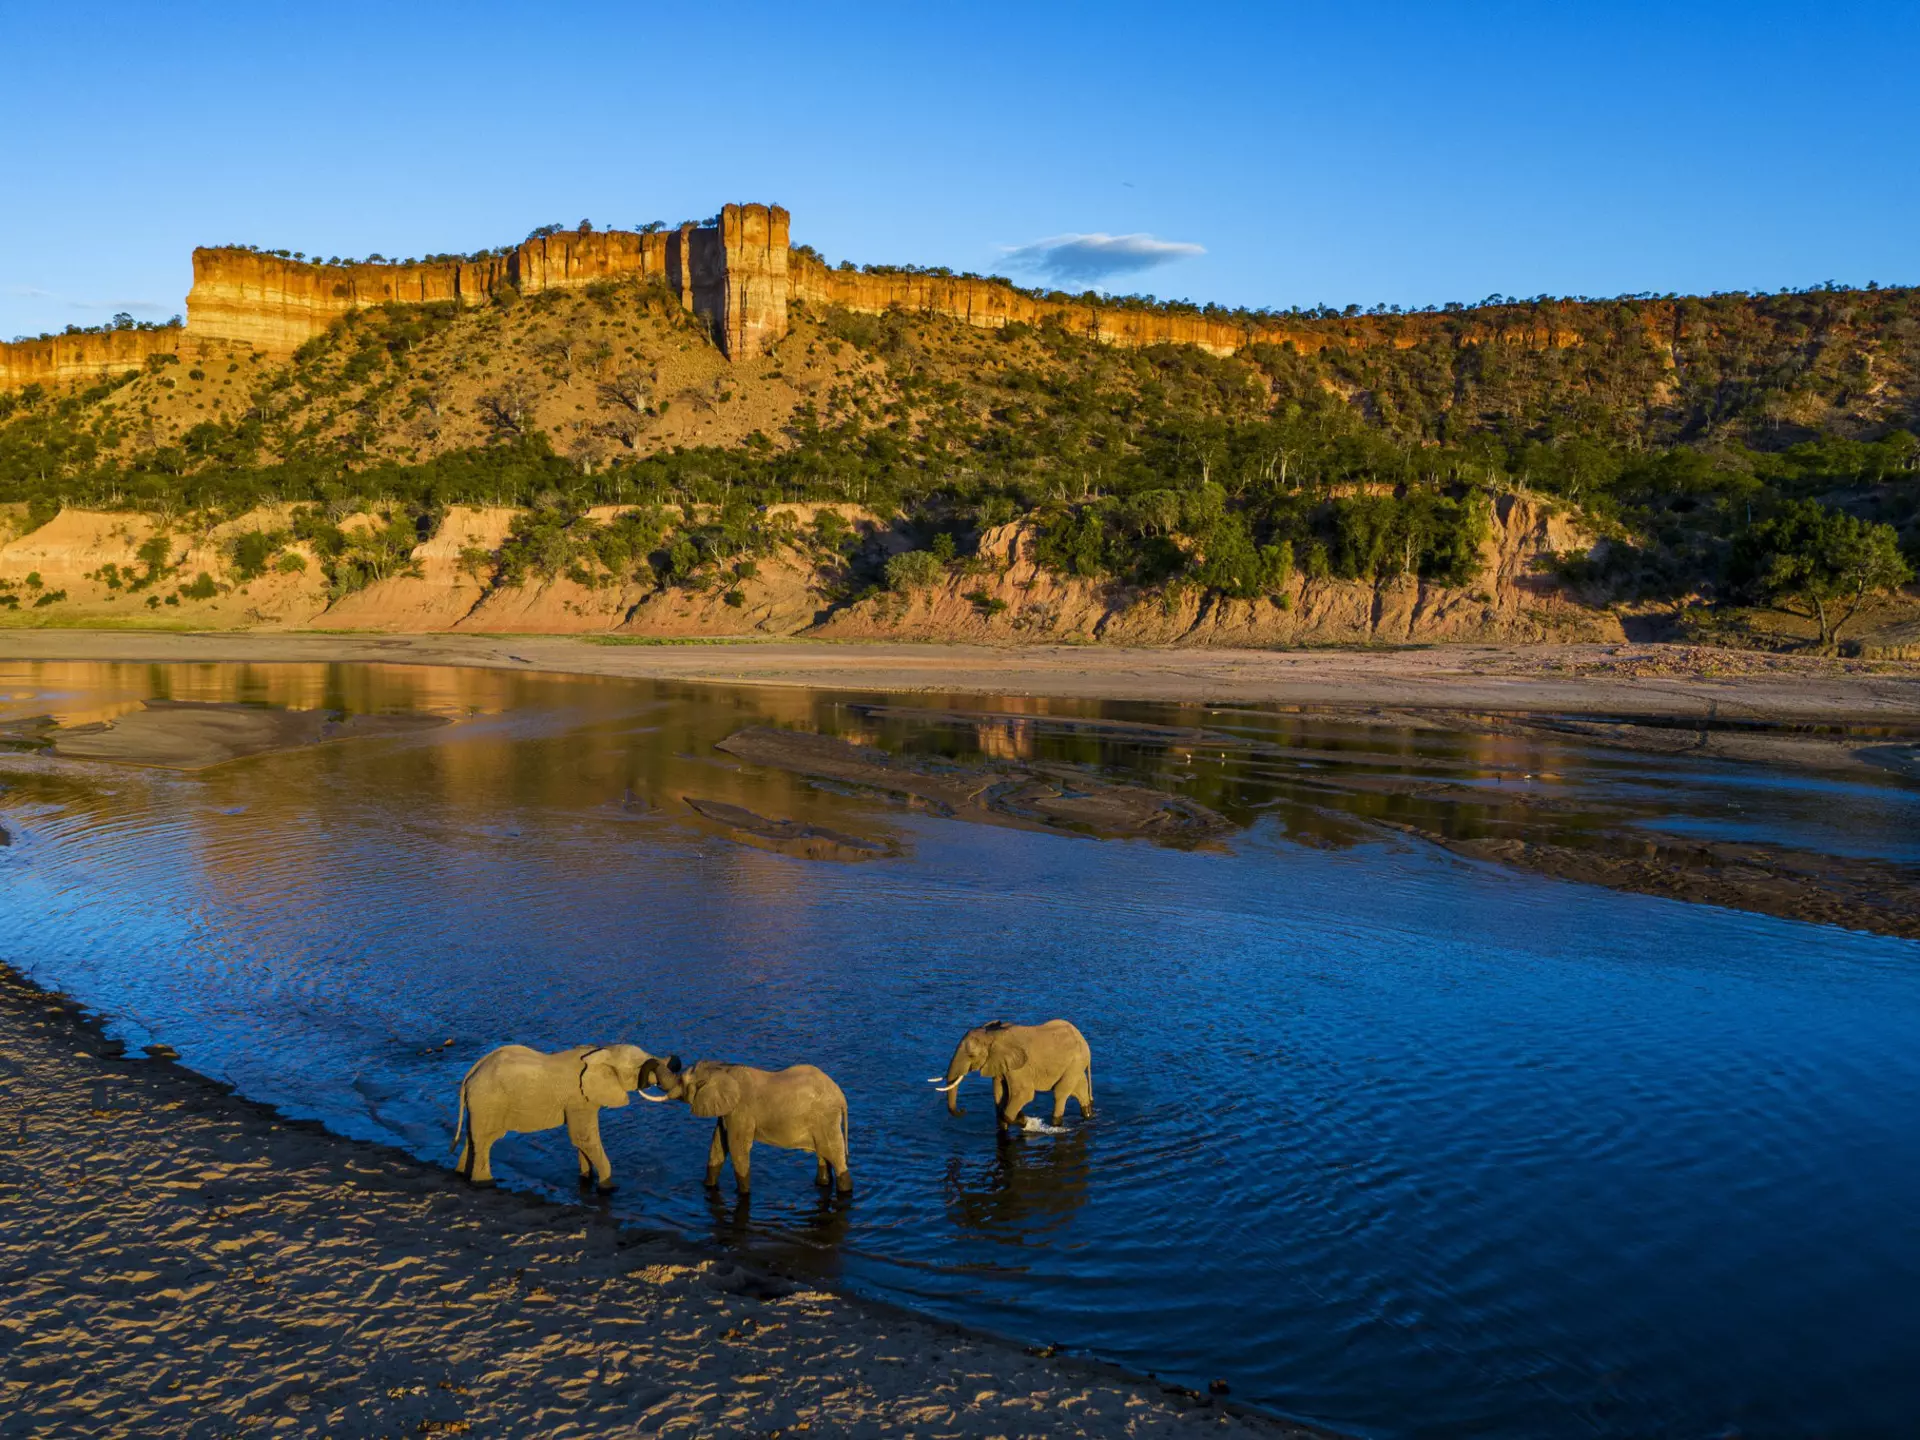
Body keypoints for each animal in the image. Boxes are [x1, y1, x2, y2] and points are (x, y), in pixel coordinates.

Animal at [452, 1042, 678, 1192]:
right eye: (639, 1067)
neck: (602, 1051)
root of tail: (471, 1073)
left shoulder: (584, 1099)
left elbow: (582, 1141)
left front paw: (586, 1178)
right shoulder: (578, 1098)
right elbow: (584, 1138)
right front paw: (608, 1186)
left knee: (472, 1138)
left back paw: (461, 1175)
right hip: (489, 1102)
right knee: (485, 1140)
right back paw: (485, 1183)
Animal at [650, 1060, 852, 1196]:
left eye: (682, 1081)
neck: (722, 1069)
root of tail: (841, 1095)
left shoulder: (740, 1111)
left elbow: (737, 1148)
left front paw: (743, 1194)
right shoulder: (726, 1111)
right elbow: (718, 1146)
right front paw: (707, 1187)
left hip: (826, 1118)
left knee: (835, 1155)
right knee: (824, 1155)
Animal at [932, 1020, 1092, 1127]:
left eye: (971, 1055)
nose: (963, 1110)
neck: (992, 1034)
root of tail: (1083, 1039)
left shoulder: (1020, 1067)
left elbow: (1024, 1094)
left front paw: (1023, 1119)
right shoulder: (998, 1063)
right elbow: (999, 1094)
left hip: (1076, 1061)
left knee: (1059, 1093)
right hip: (1075, 1064)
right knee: (1080, 1089)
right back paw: (1088, 1115)